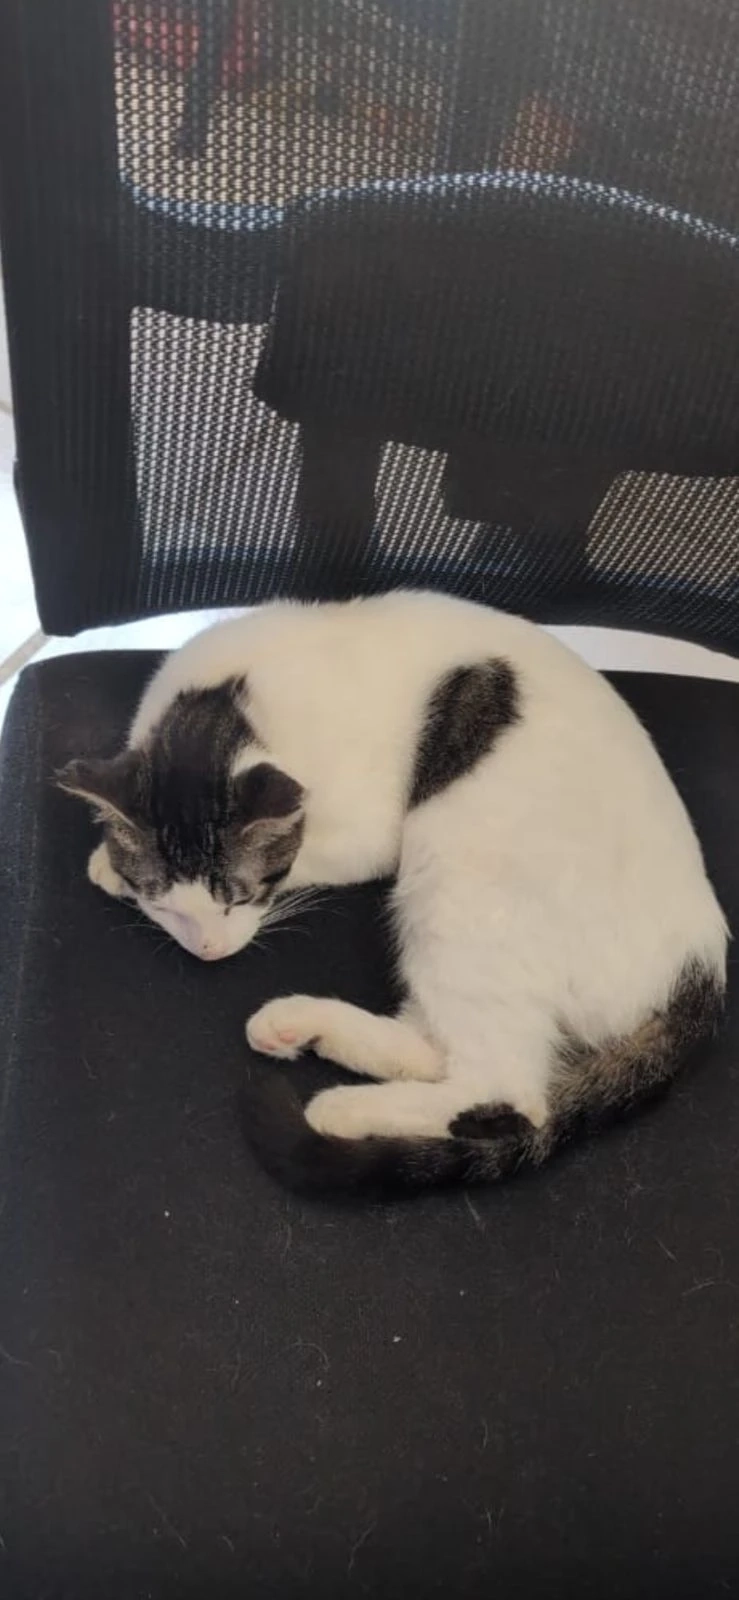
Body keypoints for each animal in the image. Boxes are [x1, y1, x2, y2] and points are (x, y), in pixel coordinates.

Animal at [58, 591, 728, 1197]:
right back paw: (303, 1026)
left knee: (507, 1090)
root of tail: (703, 969)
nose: (210, 952)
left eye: (238, 899)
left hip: (452, 877)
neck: (227, 700)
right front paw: (111, 865)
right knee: (441, 1051)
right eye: (166, 905)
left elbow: (314, 854)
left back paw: (342, 1110)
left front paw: (107, 865)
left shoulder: (367, 834)